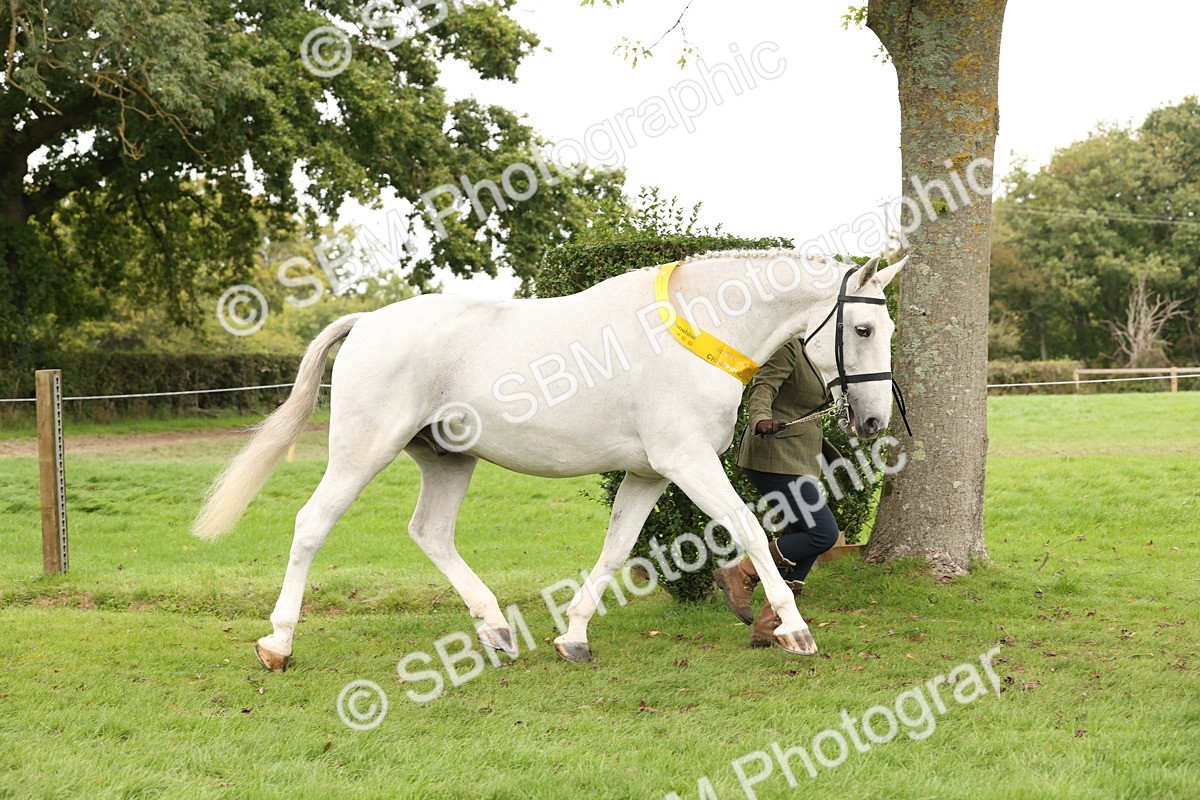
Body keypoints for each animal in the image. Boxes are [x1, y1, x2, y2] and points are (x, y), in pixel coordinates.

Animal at [192, 250, 904, 670]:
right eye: (863, 328)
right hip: (362, 450)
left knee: (431, 532)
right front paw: (794, 629)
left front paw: (574, 637)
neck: (697, 331)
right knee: (312, 525)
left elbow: (616, 551)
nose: (873, 421)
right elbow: (754, 531)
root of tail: (367, 322)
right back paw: (277, 643)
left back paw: (495, 630)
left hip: (447, 459)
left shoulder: (649, 473)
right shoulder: (688, 462)